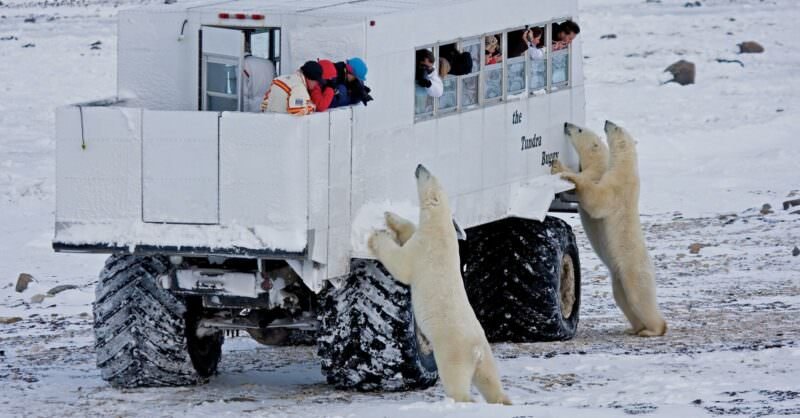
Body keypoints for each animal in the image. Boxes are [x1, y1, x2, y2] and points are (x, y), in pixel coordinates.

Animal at [368, 165, 512, 404]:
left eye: (428, 175)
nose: (419, 165)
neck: (441, 227)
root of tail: (476, 350)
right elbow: (409, 230)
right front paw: (390, 217)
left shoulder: (424, 248)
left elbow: (401, 264)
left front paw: (376, 236)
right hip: (486, 354)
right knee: (490, 380)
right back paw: (503, 401)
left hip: (453, 351)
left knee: (456, 382)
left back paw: (462, 401)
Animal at [552, 120, 664, 336]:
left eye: (579, 129)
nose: (567, 124)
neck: (625, 167)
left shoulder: (615, 185)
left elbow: (597, 200)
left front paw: (564, 171)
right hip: (618, 278)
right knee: (622, 299)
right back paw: (634, 328)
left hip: (633, 270)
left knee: (639, 297)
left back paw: (653, 329)